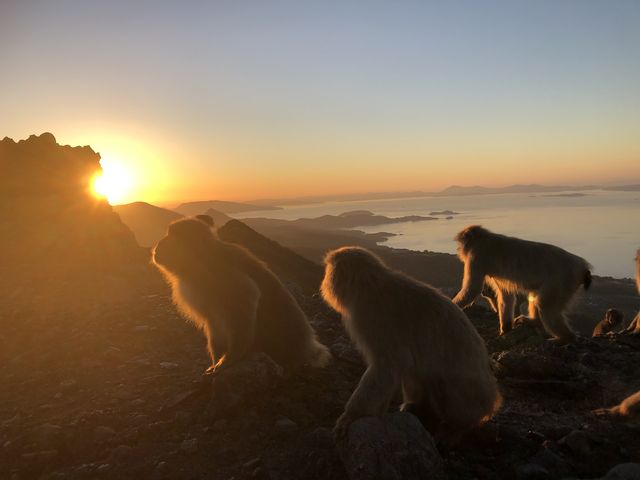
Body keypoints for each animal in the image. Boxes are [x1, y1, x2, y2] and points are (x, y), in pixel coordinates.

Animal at [151, 216, 330, 374]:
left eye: (173, 235)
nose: (159, 244)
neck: (198, 262)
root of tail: (307, 348)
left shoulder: (221, 274)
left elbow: (247, 296)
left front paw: (230, 357)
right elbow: (213, 323)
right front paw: (216, 359)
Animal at [320, 248, 500, 446]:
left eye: (330, 271)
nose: (325, 281)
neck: (368, 285)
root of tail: (492, 402)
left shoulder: (372, 318)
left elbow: (387, 366)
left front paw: (351, 415)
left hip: (472, 398)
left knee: (440, 379)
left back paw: (456, 427)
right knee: (416, 369)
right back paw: (417, 407)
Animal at [450, 225, 592, 342]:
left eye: (461, 243)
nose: (459, 249)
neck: (483, 238)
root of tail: (581, 266)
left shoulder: (476, 256)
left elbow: (472, 290)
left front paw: (453, 306)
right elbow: (506, 295)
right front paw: (505, 328)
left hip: (562, 279)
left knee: (545, 304)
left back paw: (566, 338)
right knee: (537, 297)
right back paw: (534, 322)